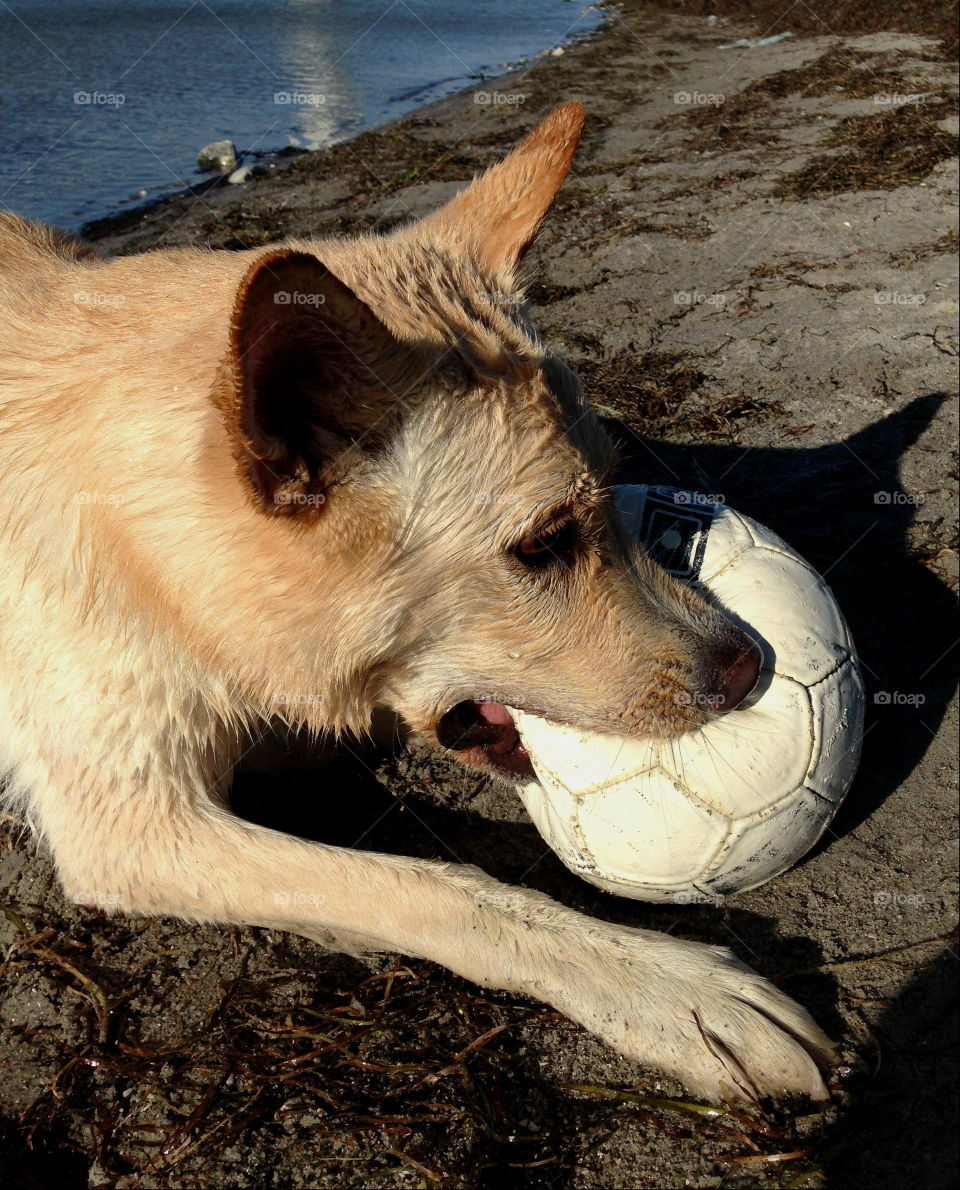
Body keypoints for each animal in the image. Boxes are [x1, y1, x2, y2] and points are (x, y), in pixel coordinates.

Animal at [0, 104, 832, 1104]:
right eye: (542, 545)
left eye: (614, 487)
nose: (751, 666)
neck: (147, 545)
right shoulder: (132, 827)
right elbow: (438, 887)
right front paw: (668, 987)